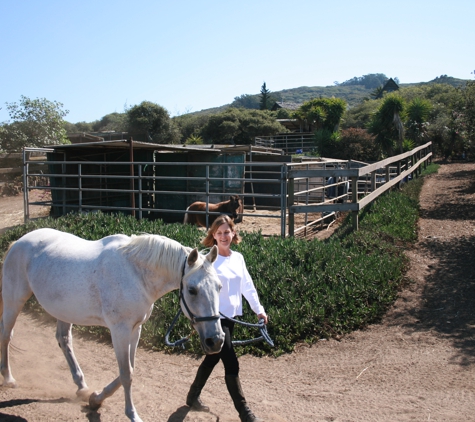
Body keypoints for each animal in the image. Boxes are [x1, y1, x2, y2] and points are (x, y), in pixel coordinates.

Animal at [0, 229, 225, 422]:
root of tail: (19, 242)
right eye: (192, 290)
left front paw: (96, 398)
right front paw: (132, 414)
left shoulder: (135, 329)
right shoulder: (120, 331)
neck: (135, 273)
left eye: (220, 287)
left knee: (64, 341)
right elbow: (126, 374)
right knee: (6, 334)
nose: (216, 340)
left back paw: (81, 386)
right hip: (14, 300)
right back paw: (9, 378)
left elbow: (130, 369)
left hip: (63, 310)